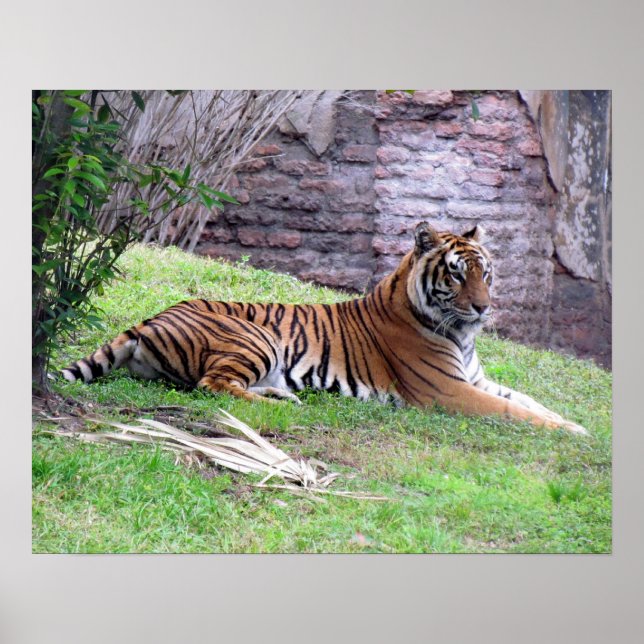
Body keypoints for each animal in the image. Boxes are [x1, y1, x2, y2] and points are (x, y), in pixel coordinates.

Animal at [62, 221, 587, 435]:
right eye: (457, 274)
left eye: (486, 273)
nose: (483, 308)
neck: (461, 335)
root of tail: (149, 317)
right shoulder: (448, 391)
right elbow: (513, 412)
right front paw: (571, 432)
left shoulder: (476, 379)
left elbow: (529, 400)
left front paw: (575, 422)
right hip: (255, 337)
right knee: (213, 385)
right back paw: (279, 403)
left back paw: (282, 396)